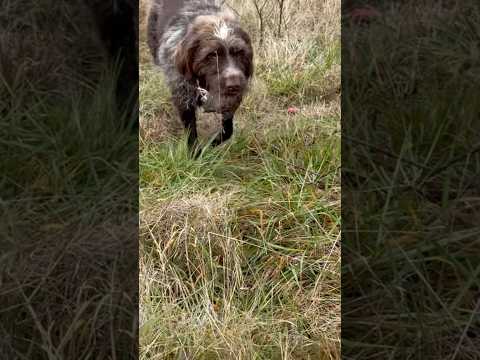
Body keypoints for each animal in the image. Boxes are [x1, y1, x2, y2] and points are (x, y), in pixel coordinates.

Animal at [146, 0, 253, 152]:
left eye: (239, 52)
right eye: (212, 55)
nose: (234, 85)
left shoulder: (230, 102)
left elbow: (228, 130)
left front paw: (212, 143)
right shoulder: (184, 99)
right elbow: (191, 135)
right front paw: (195, 154)